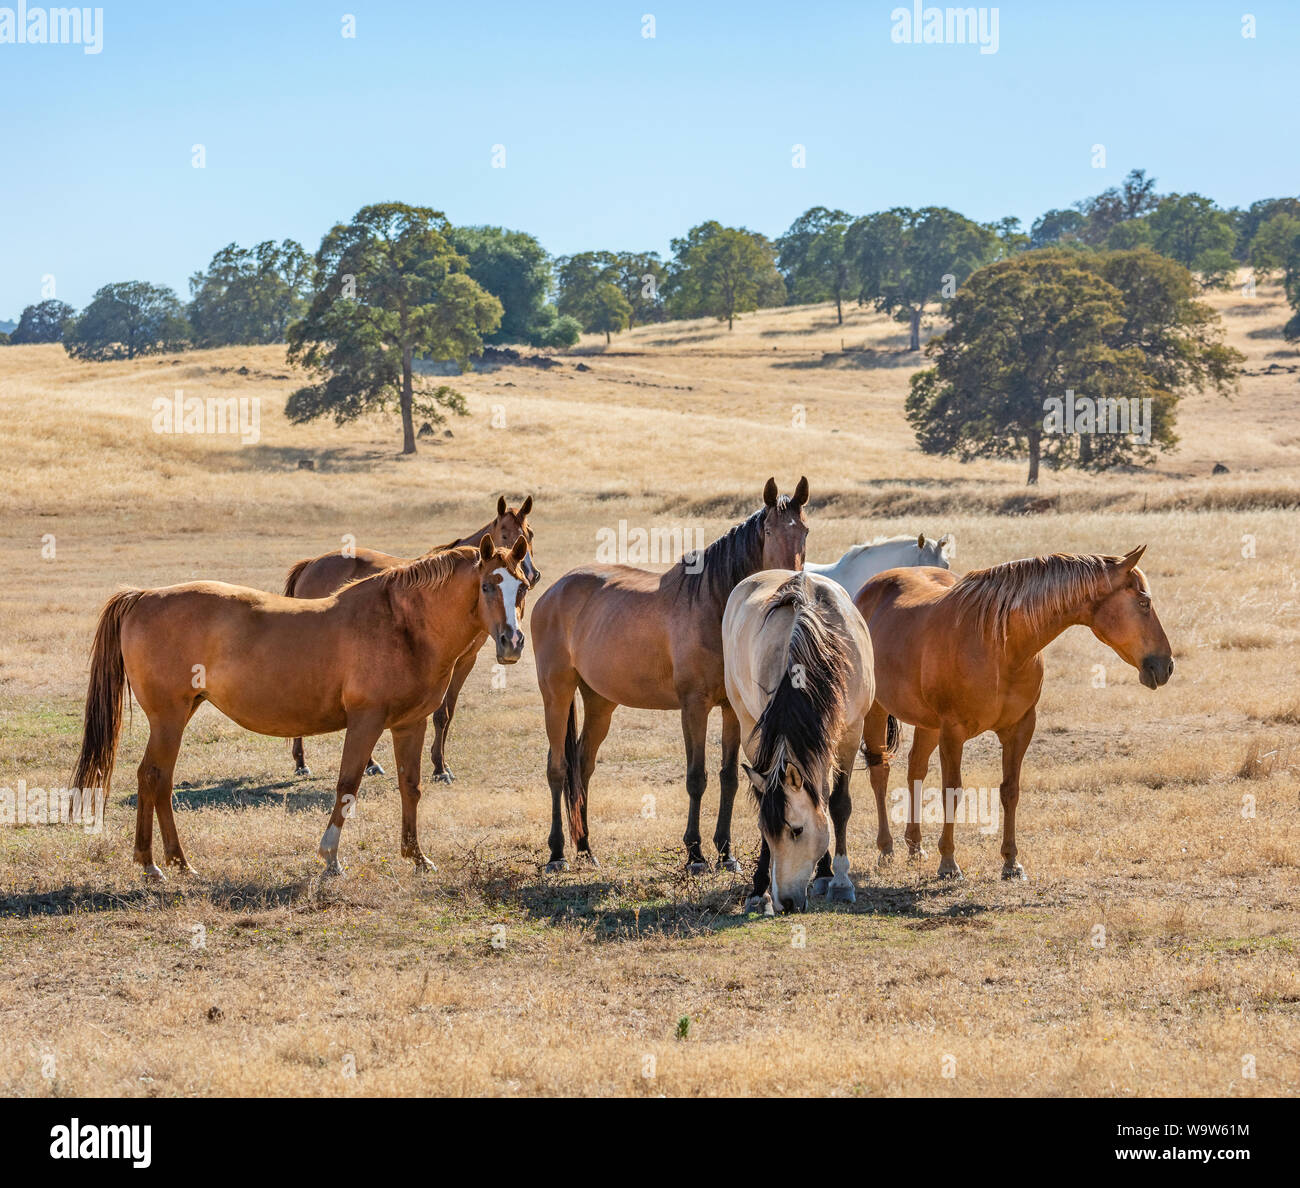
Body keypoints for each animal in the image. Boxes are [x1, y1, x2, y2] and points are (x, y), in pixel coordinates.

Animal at [71, 535, 532, 879]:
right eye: (488, 586)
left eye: (522, 586)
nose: (511, 642)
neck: (401, 624)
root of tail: (144, 596)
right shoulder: (365, 722)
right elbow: (348, 785)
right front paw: (331, 859)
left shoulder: (409, 724)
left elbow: (410, 787)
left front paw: (416, 857)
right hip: (168, 718)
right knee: (153, 778)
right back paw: (155, 864)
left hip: (179, 715)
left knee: (157, 780)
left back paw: (172, 862)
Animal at [283, 495, 538, 780]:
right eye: (504, 533)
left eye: (529, 534)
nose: (531, 574)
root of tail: (312, 563)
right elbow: (439, 713)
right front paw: (439, 768)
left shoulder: (464, 661)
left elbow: (445, 714)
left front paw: (441, 764)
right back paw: (302, 762)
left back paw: (367, 763)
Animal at [532, 477, 810, 874]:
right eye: (770, 530)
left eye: (804, 530)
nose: (790, 582)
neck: (715, 606)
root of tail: (554, 591)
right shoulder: (693, 707)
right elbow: (697, 778)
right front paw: (695, 854)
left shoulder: (730, 709)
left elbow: (728, 777)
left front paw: (726, 853)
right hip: (557, 693)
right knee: (557, 769)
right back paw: (557, 853)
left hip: (600, 701)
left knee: (582, 767)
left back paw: (585, 848)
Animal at [723, 570, 875, 914]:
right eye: (768, 831)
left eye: (797, 830)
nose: (787, 903)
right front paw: (759, 892)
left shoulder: (851, 732)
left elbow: (838, 804)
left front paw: (840, 882)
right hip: (746, 721)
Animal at [855, 546, 1173, 881]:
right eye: (1144, 602)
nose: (1166, 665)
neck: (1000, 645)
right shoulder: (953, 732)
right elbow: (951, 791)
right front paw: (949, 863)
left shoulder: (1020, 728)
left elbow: (1010, 790)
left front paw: (1011, 862)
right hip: (877, 712)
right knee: (880, 772)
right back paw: (886, 849)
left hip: (928, 723)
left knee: (915, 768)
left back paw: (915, 847)